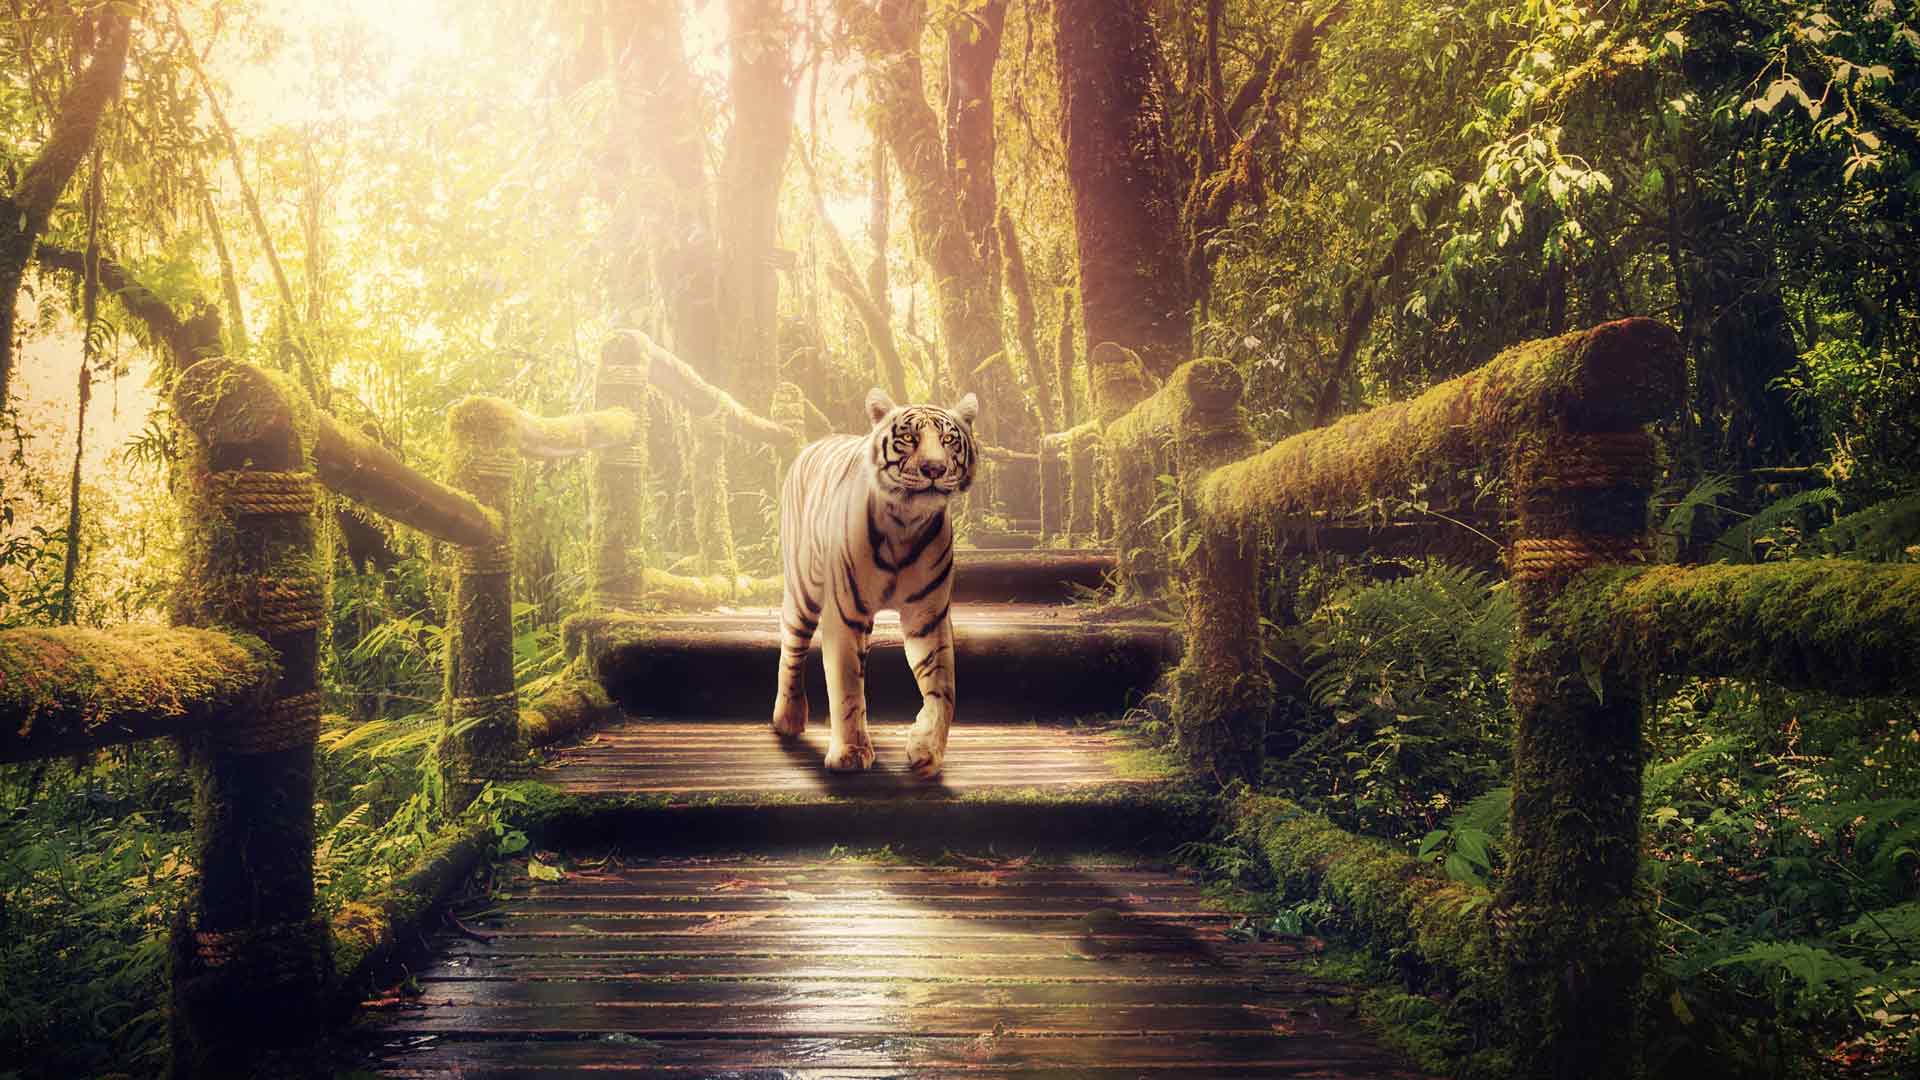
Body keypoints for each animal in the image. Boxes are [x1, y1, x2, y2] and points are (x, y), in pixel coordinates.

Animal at [771, 387, 979, 778]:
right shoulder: (845, 613)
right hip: (803, 592)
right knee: (791, 648)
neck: (907, 523)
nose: (934, 469)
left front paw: (926, 751)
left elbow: (944, 688)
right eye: (909, 438)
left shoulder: (929, 617)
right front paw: (851, 754)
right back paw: (787, 719)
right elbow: (847, 684)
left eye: (947, 440)